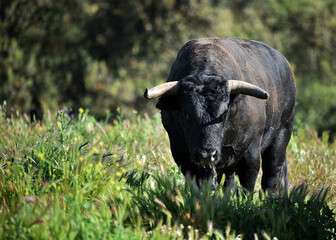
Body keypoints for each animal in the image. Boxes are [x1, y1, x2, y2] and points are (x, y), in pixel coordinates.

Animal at [143, 37, 296, 191]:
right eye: (186, 115)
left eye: (223, 114)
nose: (207, 154)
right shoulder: (181, 154)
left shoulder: (251, 156)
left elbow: (248, 186)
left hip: (281, 135)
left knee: (271, 175)